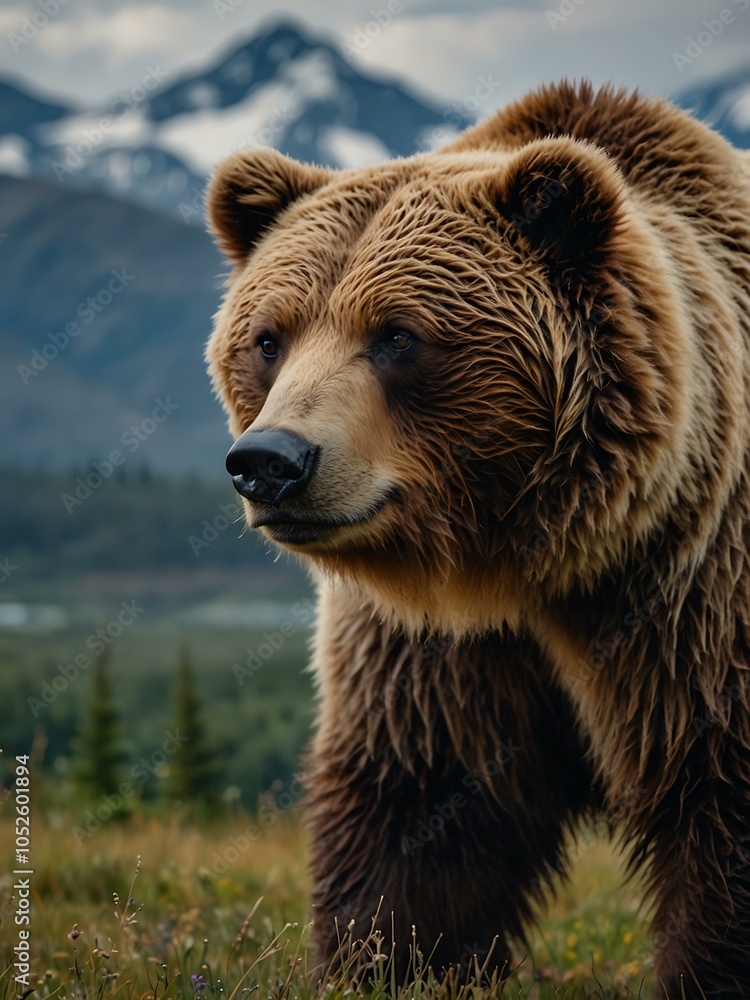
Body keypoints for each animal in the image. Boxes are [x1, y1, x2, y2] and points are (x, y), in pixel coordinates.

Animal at [205, 81, 750, 997]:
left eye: (397, 334)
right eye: (269, 338)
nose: (270, 462)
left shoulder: (693, 594)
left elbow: (720, 797)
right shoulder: (439, 647)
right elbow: (420, 805)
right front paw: (390, 961)